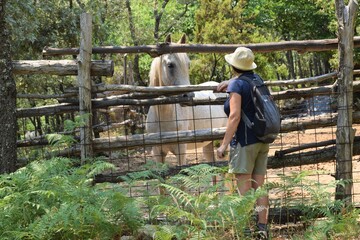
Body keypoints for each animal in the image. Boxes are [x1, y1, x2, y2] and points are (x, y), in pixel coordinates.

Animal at [145, 34, 226, 165]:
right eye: (170, 65)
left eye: (188, 65)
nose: (189, 96)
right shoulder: (157, 153)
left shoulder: (181, 152)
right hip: (208, 145)